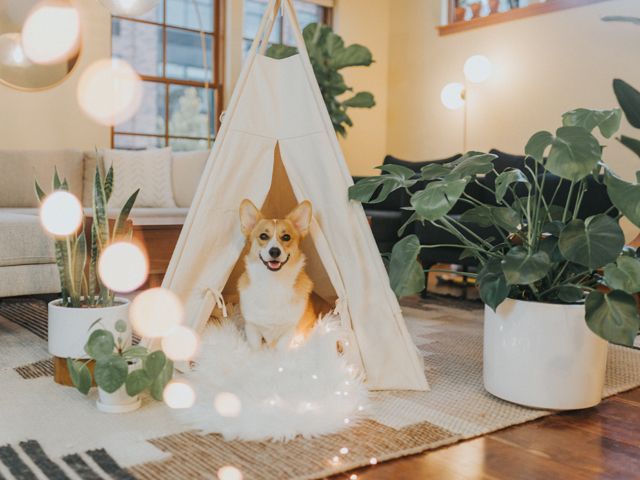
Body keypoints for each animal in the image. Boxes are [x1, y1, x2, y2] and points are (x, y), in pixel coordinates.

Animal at [238, 197, 318, 350]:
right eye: (263, 236)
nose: (274, 251)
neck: (273, 282)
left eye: (286, 237)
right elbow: (255, 349)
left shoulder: (289, 330)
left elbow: (280, 352)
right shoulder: (252, 327)